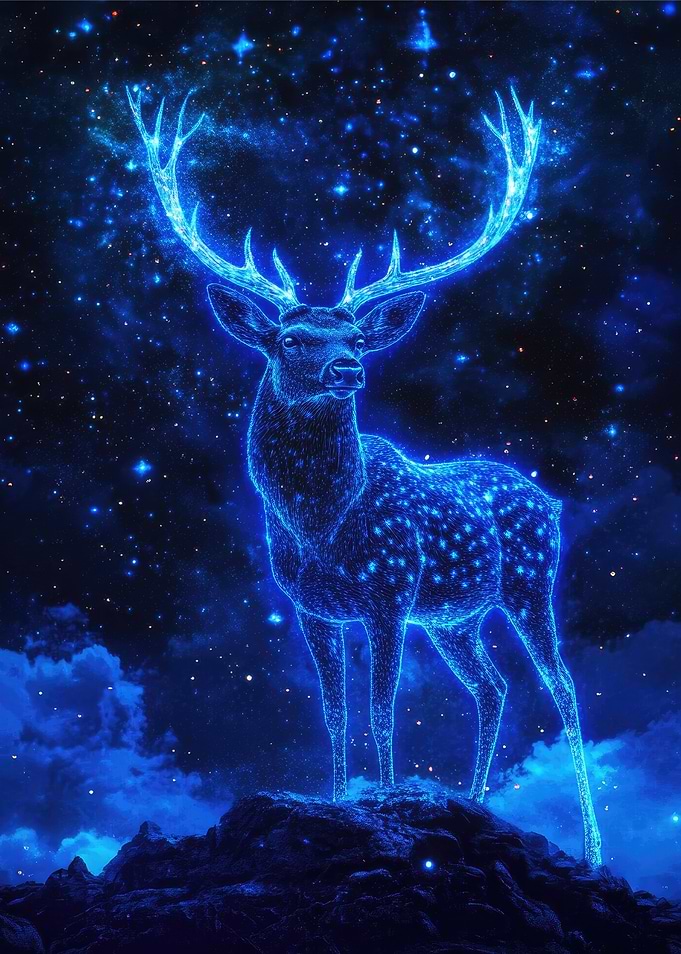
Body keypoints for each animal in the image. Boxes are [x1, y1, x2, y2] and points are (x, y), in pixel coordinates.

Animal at [128, 87, 602, 867]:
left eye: (354, 337)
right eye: (291, 339)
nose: (347, 368)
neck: (321, 522)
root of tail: (552, 501)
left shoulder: (388, 593)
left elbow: (382, 709)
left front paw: (383, 805)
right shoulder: (312, 607)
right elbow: (333, 710)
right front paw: (336, 797)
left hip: (529, 585)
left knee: (561, 690)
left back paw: (591, 848)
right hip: (455, 617)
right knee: (493, 688)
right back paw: (474, 799)